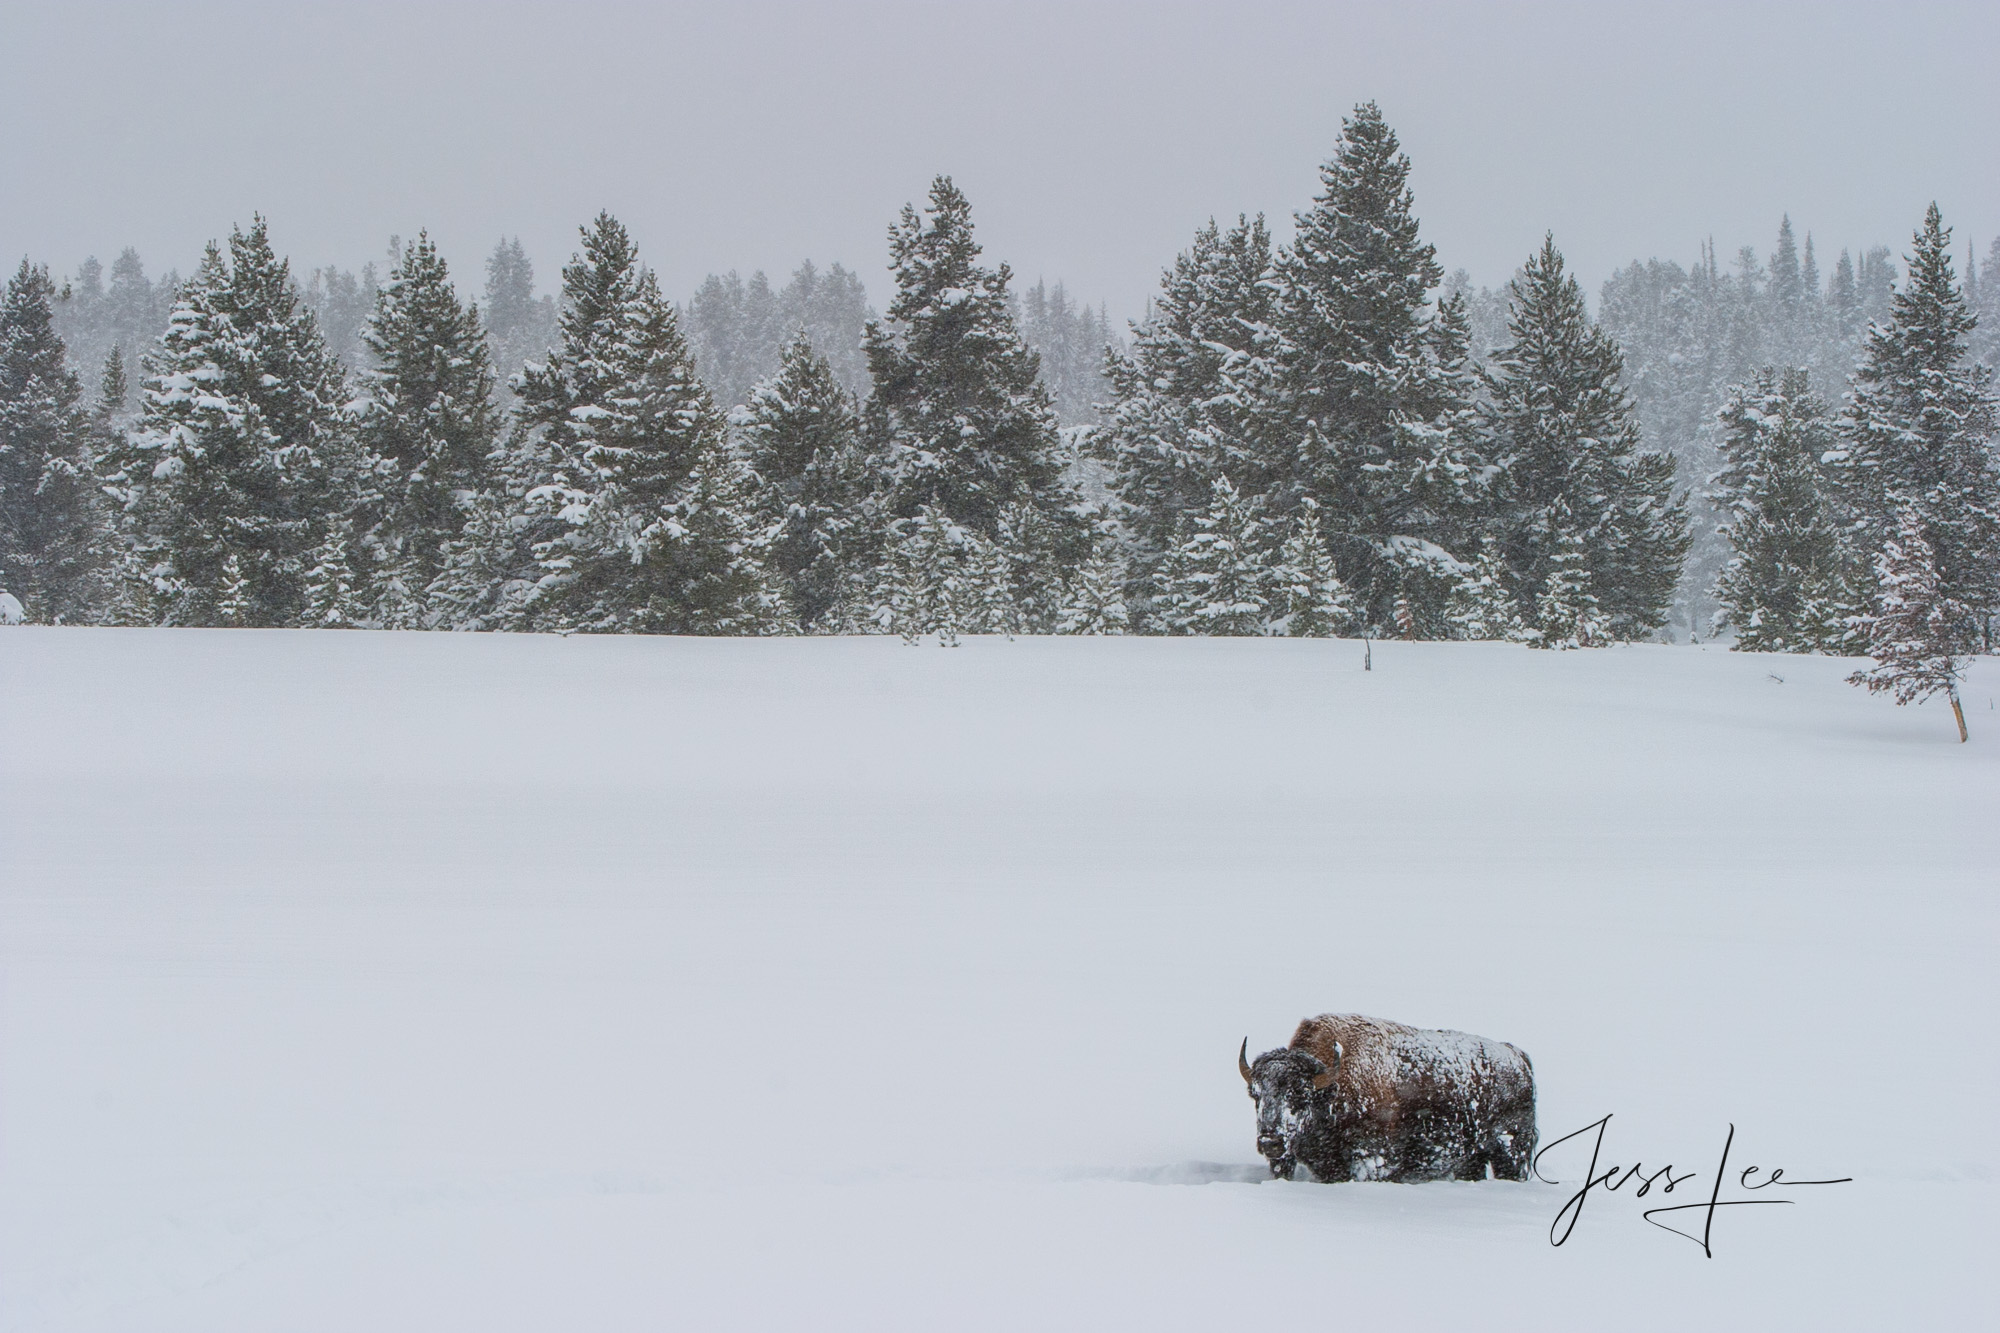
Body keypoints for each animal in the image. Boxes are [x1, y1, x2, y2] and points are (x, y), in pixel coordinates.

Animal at [1240, 1012, 1536, 1176]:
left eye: (1300, 1094)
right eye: (1256, 1095)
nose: (1270, 1143)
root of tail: (1518, 1057)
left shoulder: (1369, 1160)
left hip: (1511, 1151)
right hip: (1472, 1160)